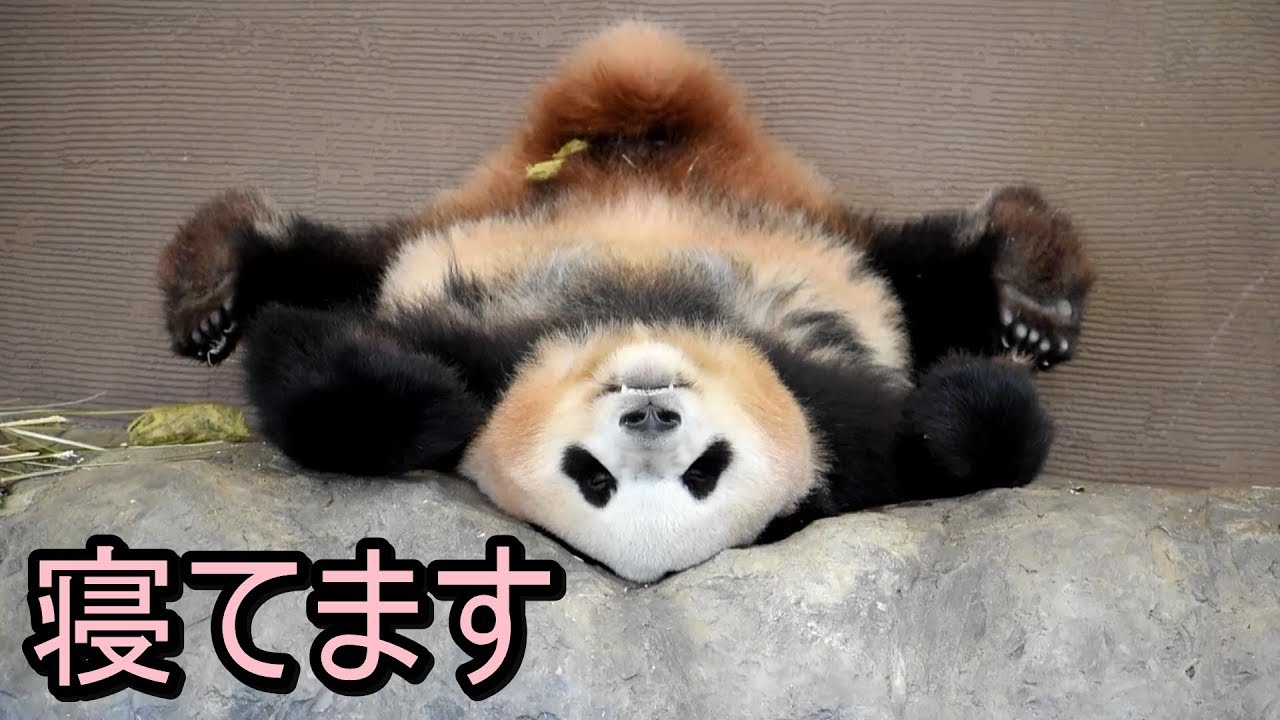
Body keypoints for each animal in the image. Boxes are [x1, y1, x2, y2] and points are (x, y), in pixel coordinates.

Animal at [157, 23, 1095, 583]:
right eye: (592, 478)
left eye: (706, 471)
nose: (649, 407)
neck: (643, 309)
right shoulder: (479, 343)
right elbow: (333, 381)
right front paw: (420, 399)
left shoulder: (843, 408)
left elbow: (980, 441)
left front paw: (956, 406)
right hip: (443, 233)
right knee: (328, 260)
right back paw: (211, 285)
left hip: (842, 247)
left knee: (931, 265)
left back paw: (1031, 292)